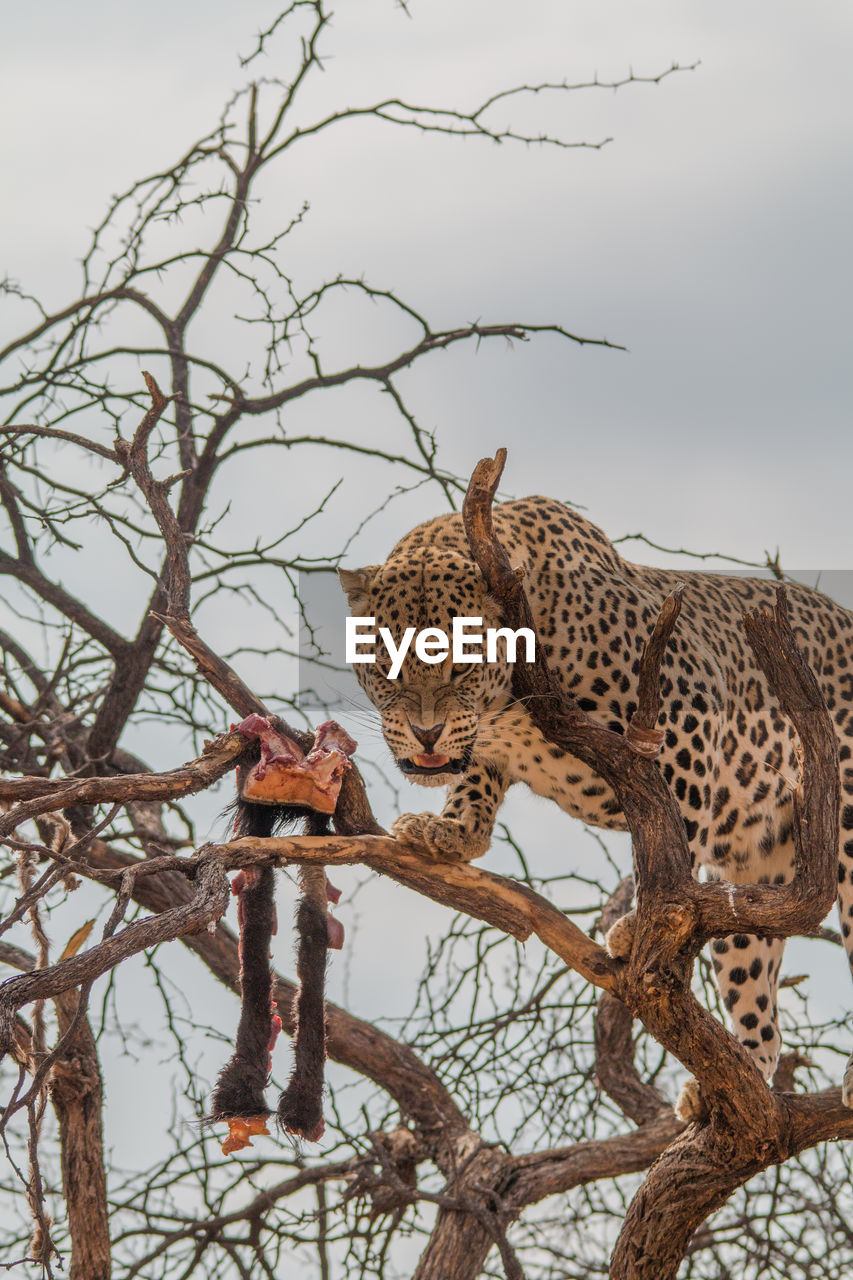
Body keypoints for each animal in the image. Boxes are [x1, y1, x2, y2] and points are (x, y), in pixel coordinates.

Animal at [338, 494, 850, 1105]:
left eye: (461, 666)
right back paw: (733, 1084)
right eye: (386, 668)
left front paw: (644, 921)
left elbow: (672, 826)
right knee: (757, 990)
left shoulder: (687, 708)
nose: (425, 735)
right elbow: (475, 776)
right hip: (757, 865)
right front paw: (452, 831)